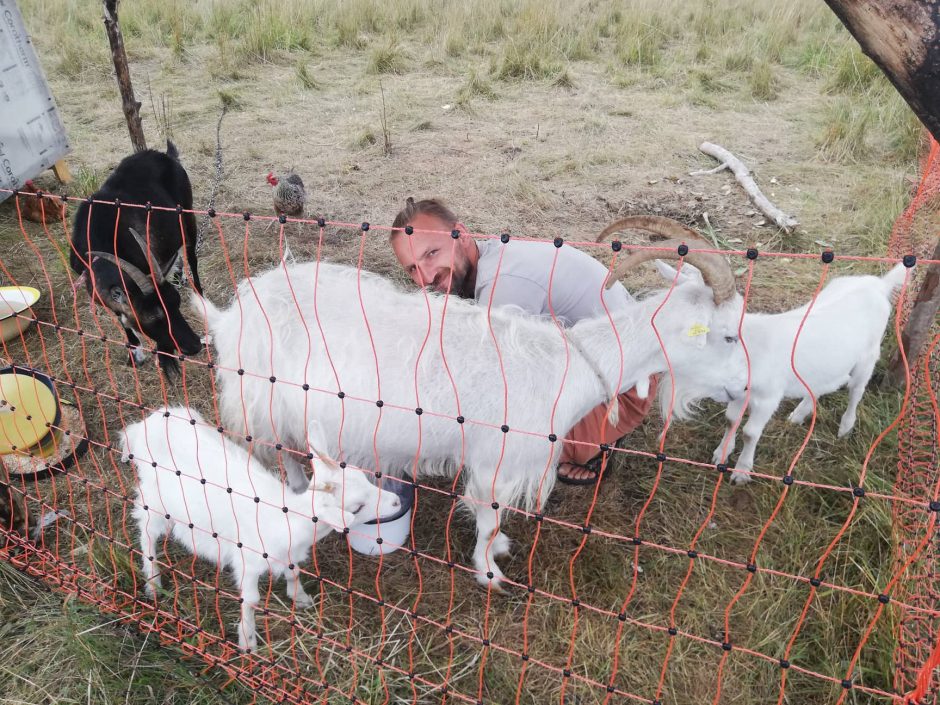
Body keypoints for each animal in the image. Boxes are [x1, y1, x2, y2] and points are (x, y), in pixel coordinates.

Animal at [70, 140, 207, 376]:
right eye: (152, 318)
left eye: (177, 303)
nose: (194, 345)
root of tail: (165, 154)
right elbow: (120, 316)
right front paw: (135, 353)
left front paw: (164, 357)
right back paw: (179, 275)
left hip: (186, 212)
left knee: (190, 252)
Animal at [119, 404, 398, 652]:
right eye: (357, 508)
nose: (396, 501)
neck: (288, 519)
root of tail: (143, 426)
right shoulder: (248, 561)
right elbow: (251, 600)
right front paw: (247, 641)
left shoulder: (288, 554)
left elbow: (294, 571)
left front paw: (300, 598)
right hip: (155, 499)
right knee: (146, 531)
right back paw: (153, 582)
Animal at [193, 216, 748, 588]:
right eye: (726, 335)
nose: (745, 389)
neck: (566, 364)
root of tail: (231, 312)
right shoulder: (494, 462)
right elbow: (488, 518)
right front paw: (490, 572)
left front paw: (496, 554)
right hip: (261, 399)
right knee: (280, 454)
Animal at [652, 260, 912, 484]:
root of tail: (880, 284)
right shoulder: (739, 392)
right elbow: (730, 420)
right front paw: (721, 454)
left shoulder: (768, 396)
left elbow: (750, 432)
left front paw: (742, 472)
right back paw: (799, 414)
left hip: (868, 355)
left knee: (856, 390)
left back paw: (845, 428)